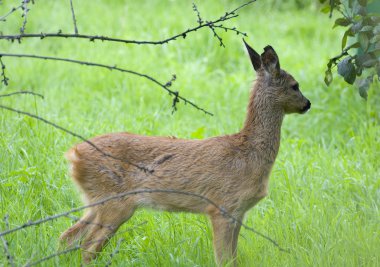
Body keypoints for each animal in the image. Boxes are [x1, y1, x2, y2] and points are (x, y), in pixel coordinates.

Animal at [58, 39, 308, 266]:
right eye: (295, 85)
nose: (308, 104)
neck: (249, 153)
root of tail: (73, 154)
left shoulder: (239, 212)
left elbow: (233, 258)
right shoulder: (222, 206)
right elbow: (224, 259)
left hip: (94, 201)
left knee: (67, 237)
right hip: (114, 202)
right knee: (88, 247)